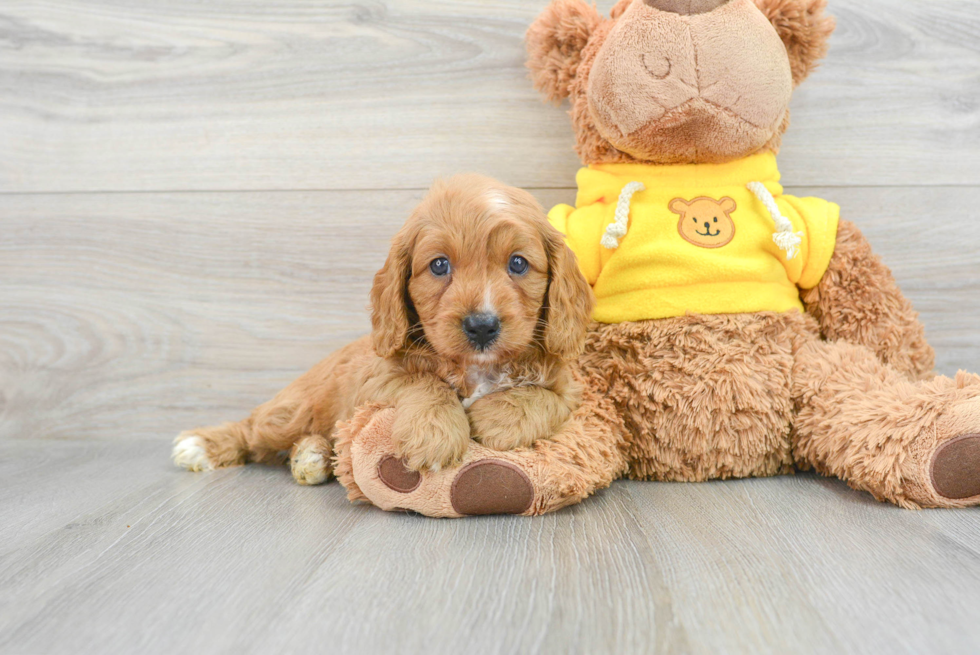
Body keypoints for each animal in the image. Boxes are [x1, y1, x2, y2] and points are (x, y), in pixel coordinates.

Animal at [172, 173, 592, 482]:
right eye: (439, 265)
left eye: (518, 263)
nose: (482, 326)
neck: (476, 369)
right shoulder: (373, 381)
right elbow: (424, 382)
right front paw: (434, 433)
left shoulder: (571, 389)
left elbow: (546, 399)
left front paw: (496, 417)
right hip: (293, 410)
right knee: (252, 427)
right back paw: (203, 444)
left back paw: (313, 455)